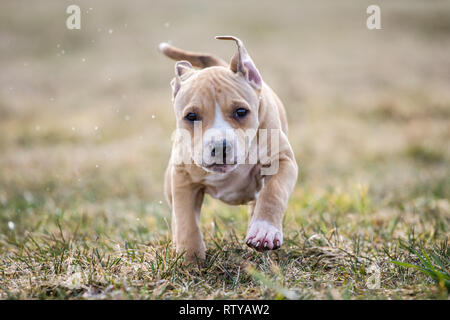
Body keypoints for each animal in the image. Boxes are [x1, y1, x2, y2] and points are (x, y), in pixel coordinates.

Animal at [159, 36, 298, 262]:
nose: (219, 146)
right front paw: (189, 258)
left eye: (241, 112)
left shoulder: (282, 160)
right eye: (191, 116)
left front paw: (264, 231)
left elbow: (273, 193)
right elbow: (186, 219)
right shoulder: (182, 178)